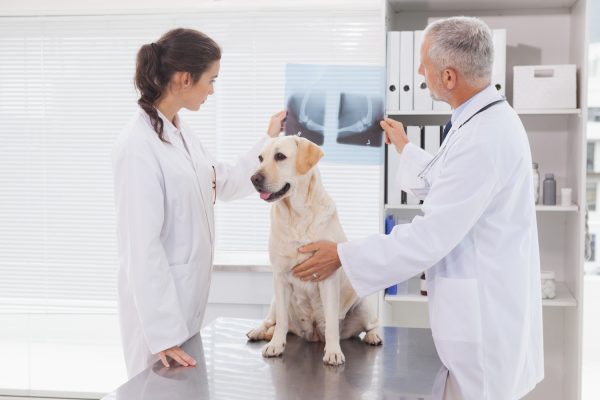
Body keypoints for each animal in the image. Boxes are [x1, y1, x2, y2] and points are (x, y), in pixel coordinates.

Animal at [246, 137, 382, 366]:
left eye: (280, 156)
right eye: (260, 158)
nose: (254, 178)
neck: (297, 216)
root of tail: (314, 335)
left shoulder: (327, 277)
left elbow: (332, 321)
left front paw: (334, 352)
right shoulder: (279, 277)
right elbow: (281, 321)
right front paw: (275, 345)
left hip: (363, 305)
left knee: (372, 324)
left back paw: (373, 336)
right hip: (274, 301)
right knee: (271, 320)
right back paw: (258, 332)